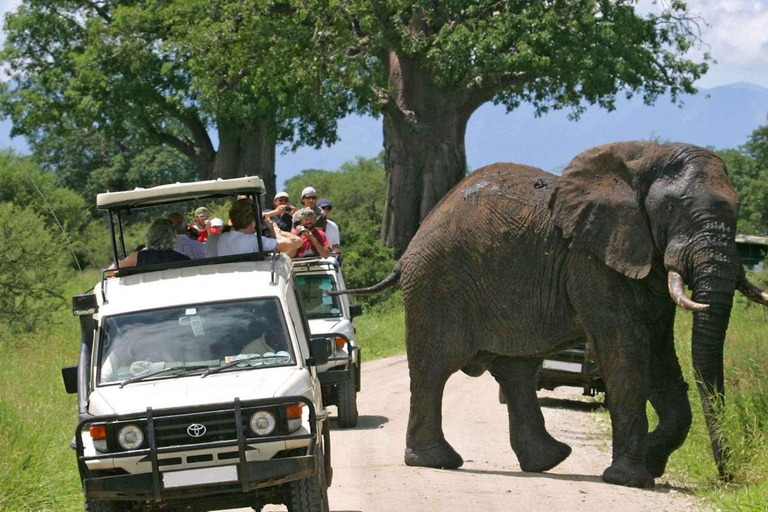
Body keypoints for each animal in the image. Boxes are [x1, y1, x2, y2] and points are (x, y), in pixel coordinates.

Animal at [338, 141, 768, 488]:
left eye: (738, 211)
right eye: (674, 209)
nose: (728, 479)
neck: (646, 159)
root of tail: (411, 244)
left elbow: (660, 353)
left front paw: (652, 462)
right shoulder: (591, 259)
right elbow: (626, 350)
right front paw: (630, 479)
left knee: (515, 370)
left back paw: (549, 461)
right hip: (436, 283)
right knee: (434, 367)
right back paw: (437, 462)